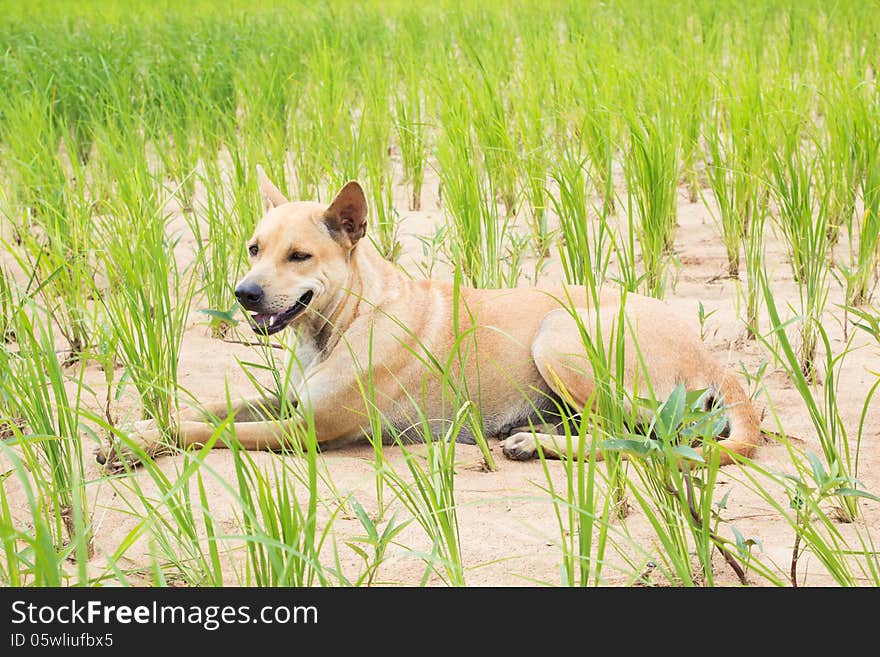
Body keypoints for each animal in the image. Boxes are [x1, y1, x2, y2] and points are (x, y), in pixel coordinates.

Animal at [94, 168, 756, 466]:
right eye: (254, 248)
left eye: (299, 256)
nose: (245, 294)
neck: (346, 319)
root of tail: (719, 365)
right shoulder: (287, 402)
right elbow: (208, 408)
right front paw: (138, 428)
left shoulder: (305, 431)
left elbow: (204, 431)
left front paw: (143, 442)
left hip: (561, 336)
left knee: (643, 437)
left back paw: (533, 444)